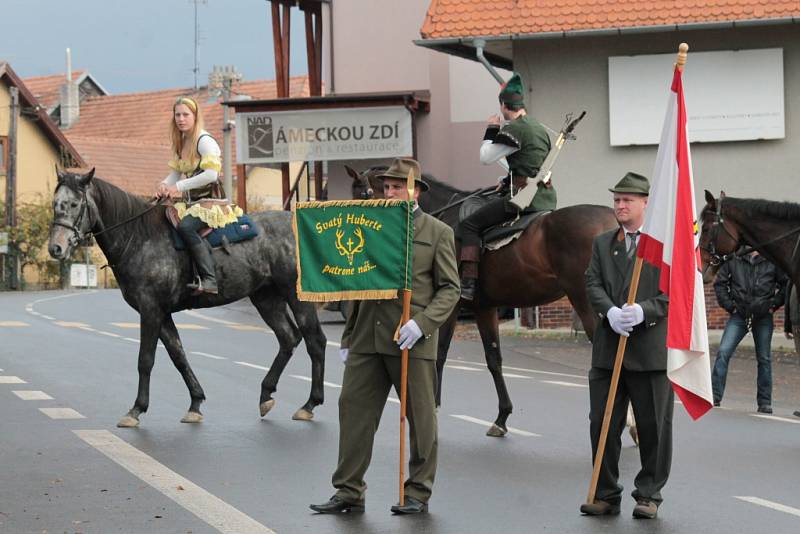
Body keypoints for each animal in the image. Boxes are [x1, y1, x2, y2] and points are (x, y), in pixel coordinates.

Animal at [47, 170, 324, 430]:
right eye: (55, 203)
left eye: (74, 204)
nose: (55, 248)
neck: (139, 238)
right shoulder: (161, 313)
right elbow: (178, 355)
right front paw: (195, 403)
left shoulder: (150, 310)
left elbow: (145, 360)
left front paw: (136, 409)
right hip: (266, 297)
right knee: (289, 338)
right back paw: (266, 394)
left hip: (296, 296)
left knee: (315, 341)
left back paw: (310, 404)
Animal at [346, 166, 616, 436]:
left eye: (361, 194)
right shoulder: (485, 308)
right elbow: (493, 359)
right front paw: (502, 416)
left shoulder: (451, 305)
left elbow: (440, 352)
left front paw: (433, 406)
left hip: (585, 303)